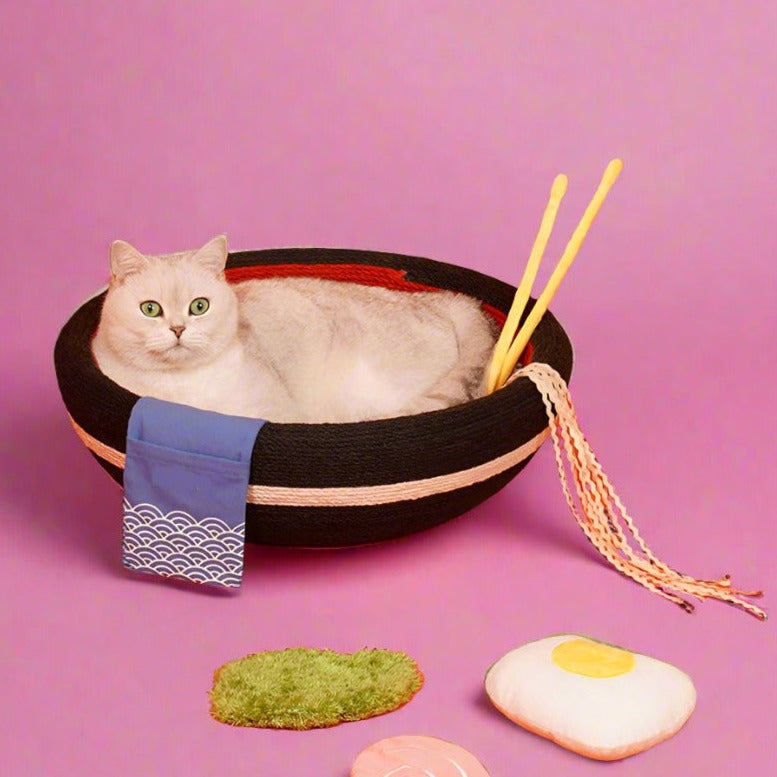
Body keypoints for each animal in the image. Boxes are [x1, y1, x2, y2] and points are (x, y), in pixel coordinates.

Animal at [92, 235, 498, 422]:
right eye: (150, 309)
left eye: (199, 306)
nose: (178, 329)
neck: (182, 389)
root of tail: (449, 301)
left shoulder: (276, 411)